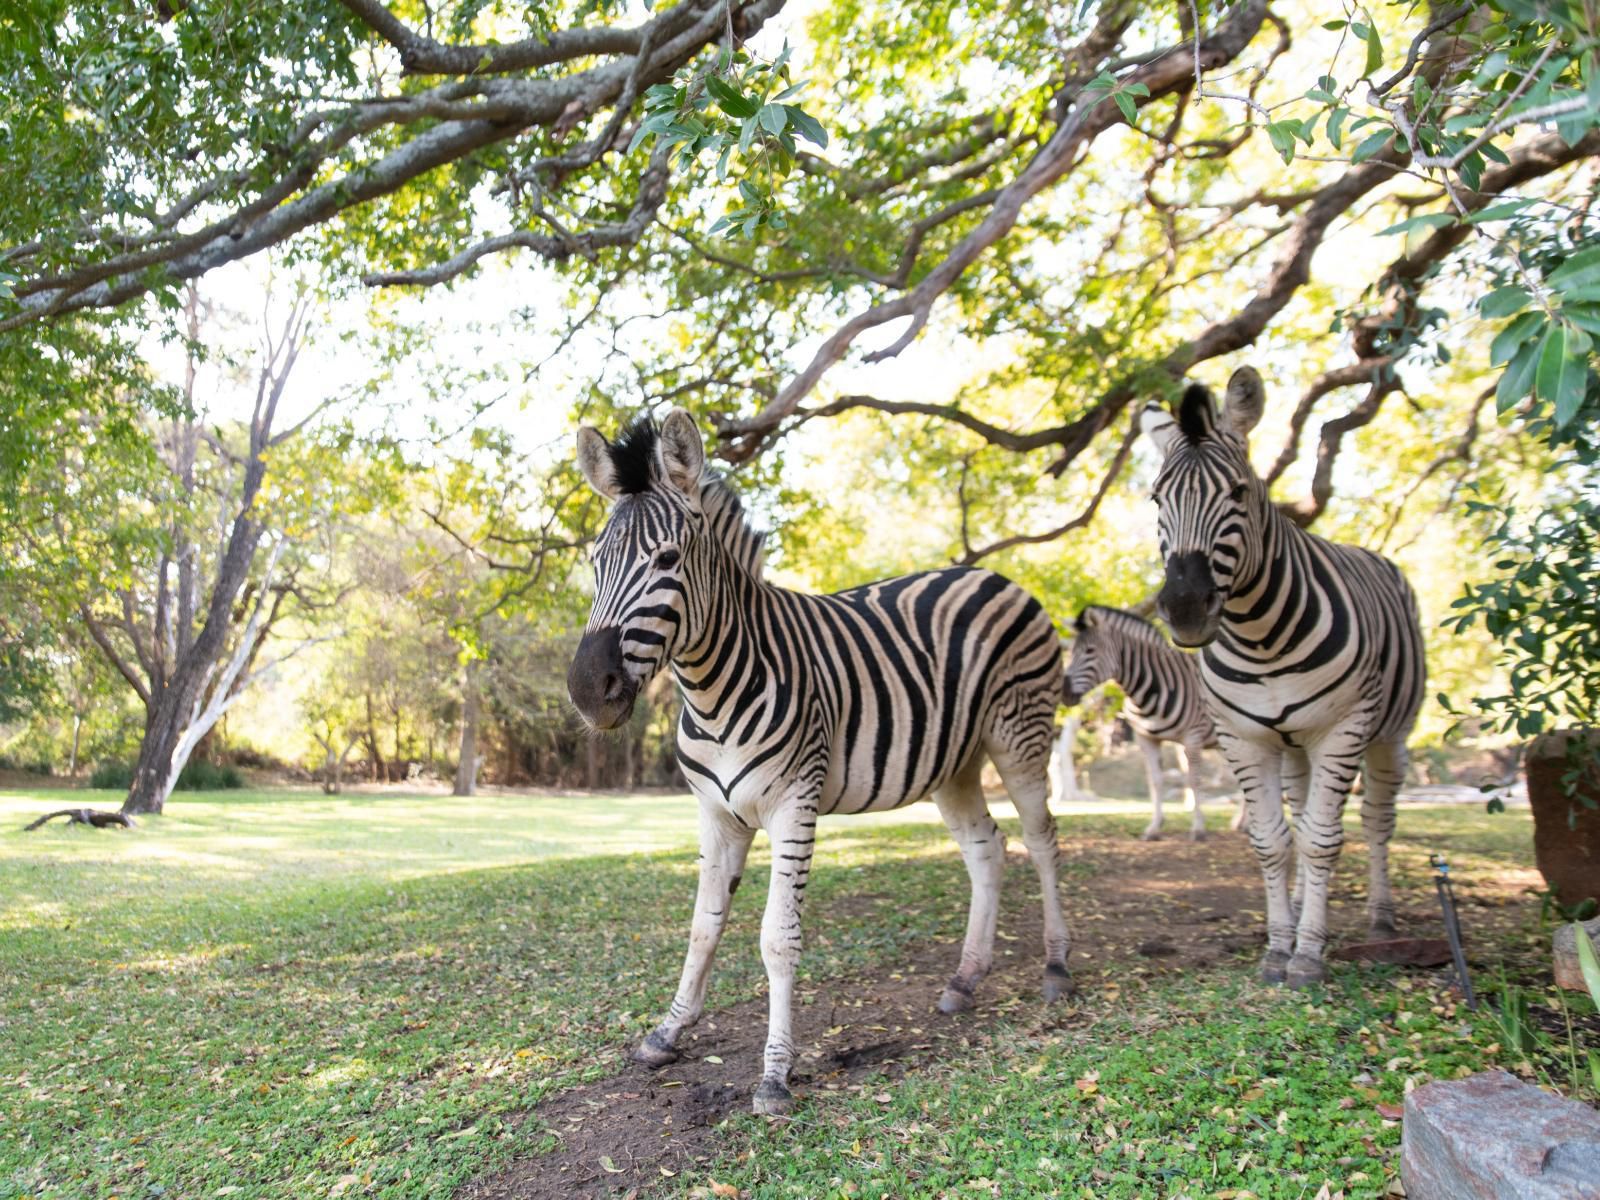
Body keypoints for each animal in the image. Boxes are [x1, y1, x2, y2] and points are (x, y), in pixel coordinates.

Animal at [563, 412, 1075, 1120]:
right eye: (595, 563)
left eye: (666, 559)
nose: (590, 691)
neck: (713, 686)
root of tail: (994, 576)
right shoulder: (715, 812)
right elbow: (702, 927)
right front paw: (668, 1032)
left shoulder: (793, 803)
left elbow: (778, 938)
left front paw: (775, 1074)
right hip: (953, 762)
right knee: (987, 849)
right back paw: (965, 979)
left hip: (1019, 735)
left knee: (1043, 841)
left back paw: (1056, 969)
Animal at [1062, 604, 1248, 838]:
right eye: (1071, 652)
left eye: (1090, 651)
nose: (1065, 693)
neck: (1149, 688)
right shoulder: (1146, 738)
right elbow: (1155, 781)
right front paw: (1154, 827)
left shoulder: (1193, 736)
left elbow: (1194, 780)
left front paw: (1198, 828)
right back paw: (1241, 822)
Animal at [1139, 371, 1427, 992]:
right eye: (1155, 499)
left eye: (1239, 494)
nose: (1184, 608)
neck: (1261, 637)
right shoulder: (1244, 738)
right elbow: (1273, 840)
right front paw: (1278, 945)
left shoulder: (1342, 729)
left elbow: (1322, 840)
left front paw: (1308, 954)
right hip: (1293, 744)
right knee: (1301, 813)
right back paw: (1296, 907)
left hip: (1389, 734)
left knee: (1376, 821)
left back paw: (1381, 916)